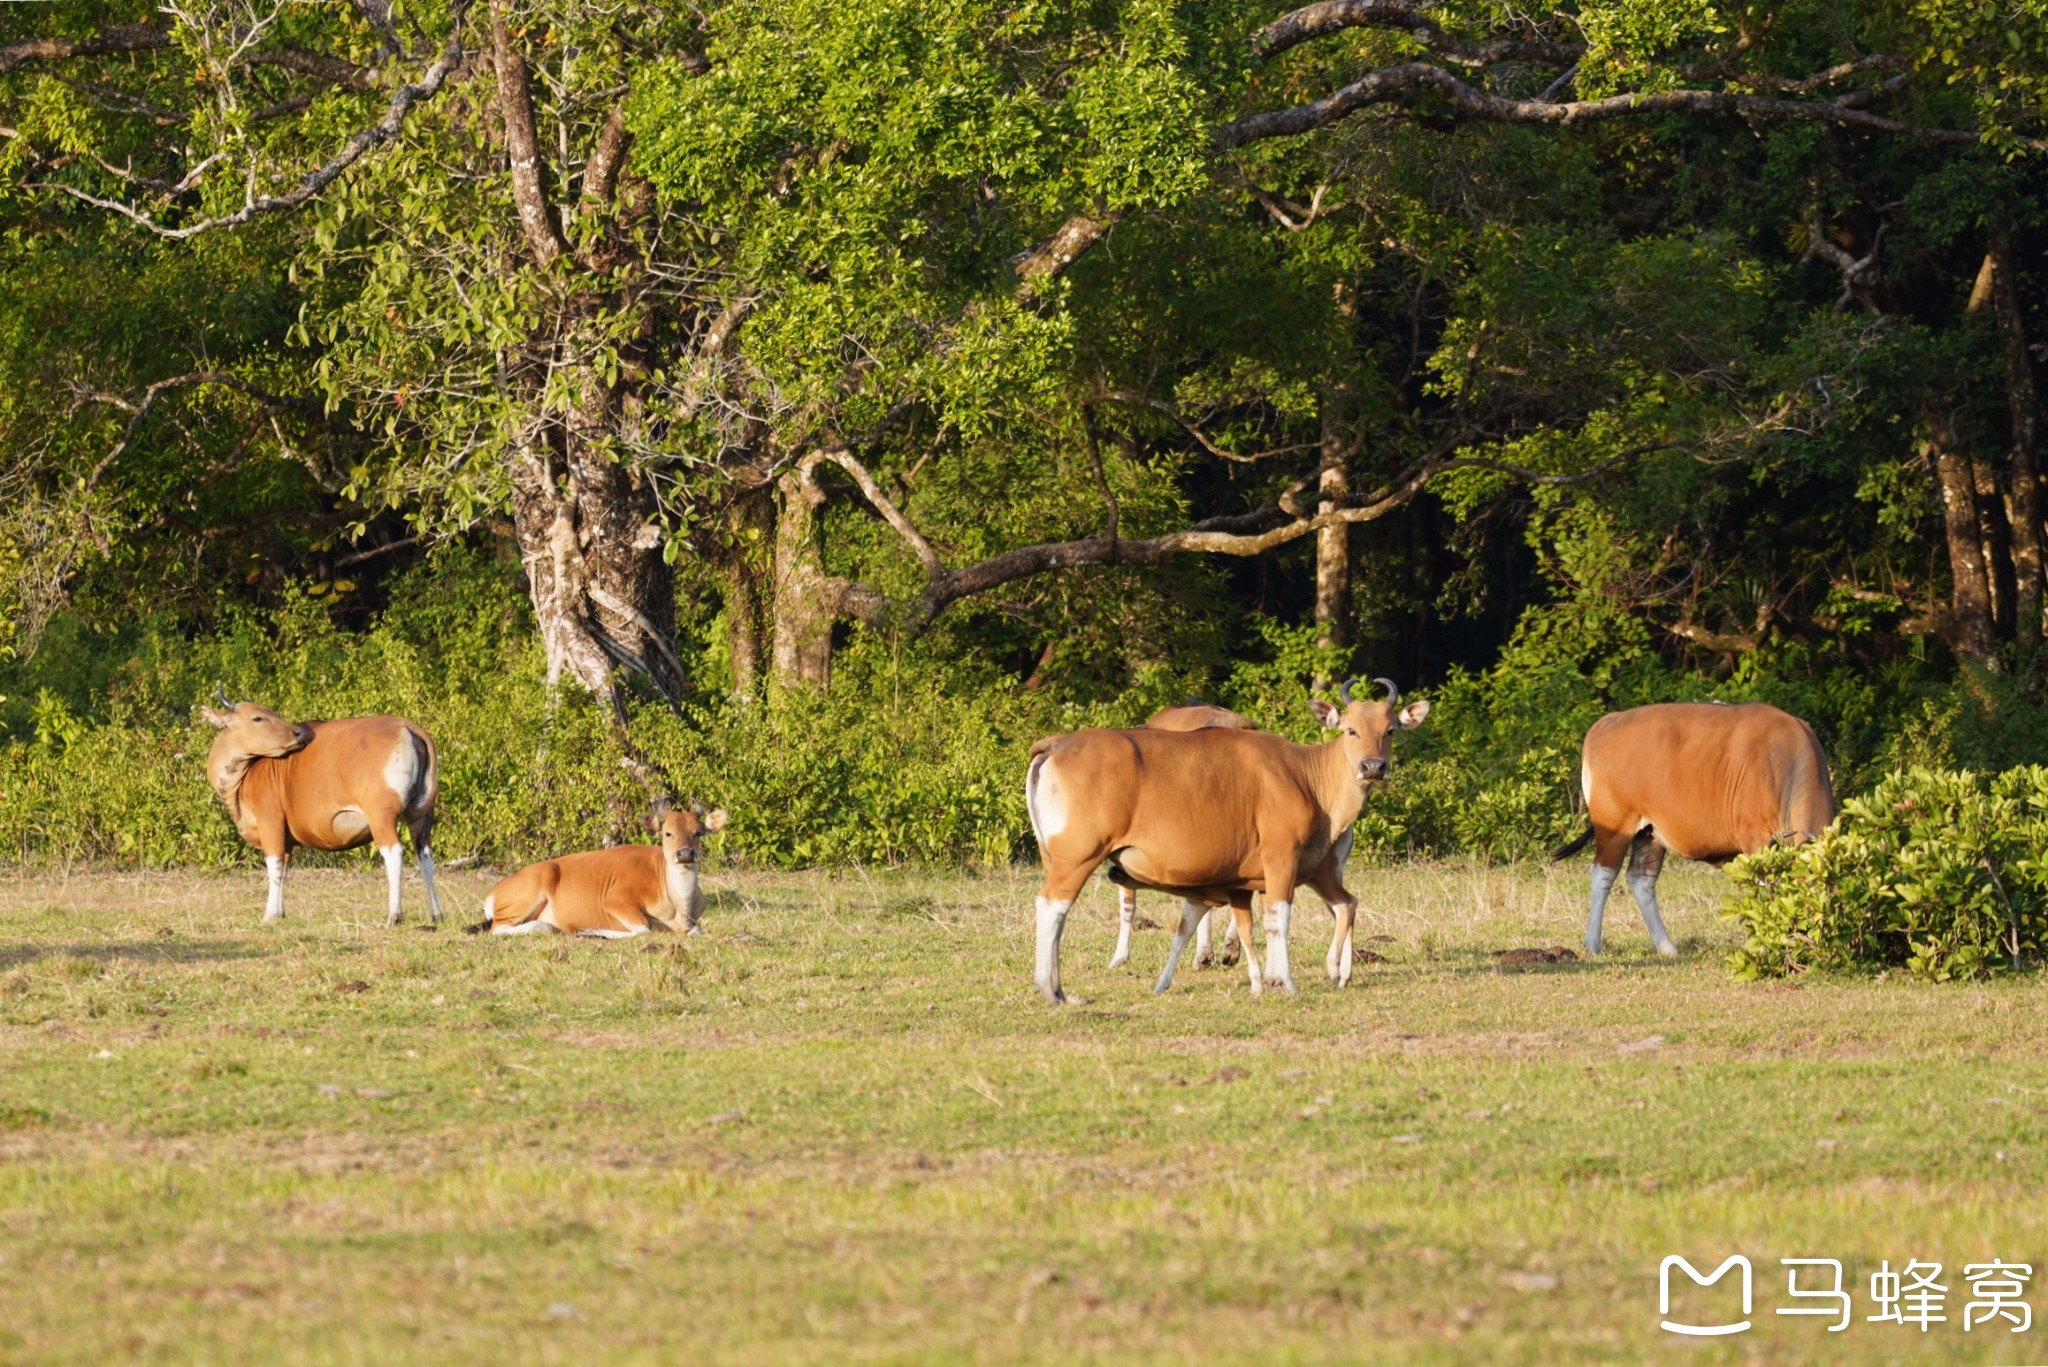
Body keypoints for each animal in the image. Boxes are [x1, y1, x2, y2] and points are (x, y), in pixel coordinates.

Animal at [199, 696, 444, 930]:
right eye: (259, 717)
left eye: (270, 715)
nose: (298, 732)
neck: (248, 773)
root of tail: (408, 727)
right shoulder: (287, 841)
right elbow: (284, 868)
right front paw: (280, 913)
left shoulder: (270, 822)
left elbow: (274, 866)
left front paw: (269, 915)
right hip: (421, 812)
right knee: (424, 855)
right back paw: (436, 914)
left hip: (381, 816)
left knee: (394, 853)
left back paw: (394, 915)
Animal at [1019, 680, 1425, 1000]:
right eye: (1350, 730)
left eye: (1390, 730)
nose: (1372, 767)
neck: (1305, 775)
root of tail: (1056, 746)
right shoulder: (1281, 857)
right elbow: (1280, 918)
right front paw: (1285, 982)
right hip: (1078, 855)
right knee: (1053, 907)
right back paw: (1052, 989)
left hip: (1053, 856)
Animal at [1556, 700, 1835, 959]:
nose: (1809, 940)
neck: (1782, 768)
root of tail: (1605, 722)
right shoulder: (1755, 840)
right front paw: (1765, 944)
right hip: (1615, 825)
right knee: (1602, 874)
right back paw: (1593, 944)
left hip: (1649, 833)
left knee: (1641, 879)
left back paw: (1667, 947)